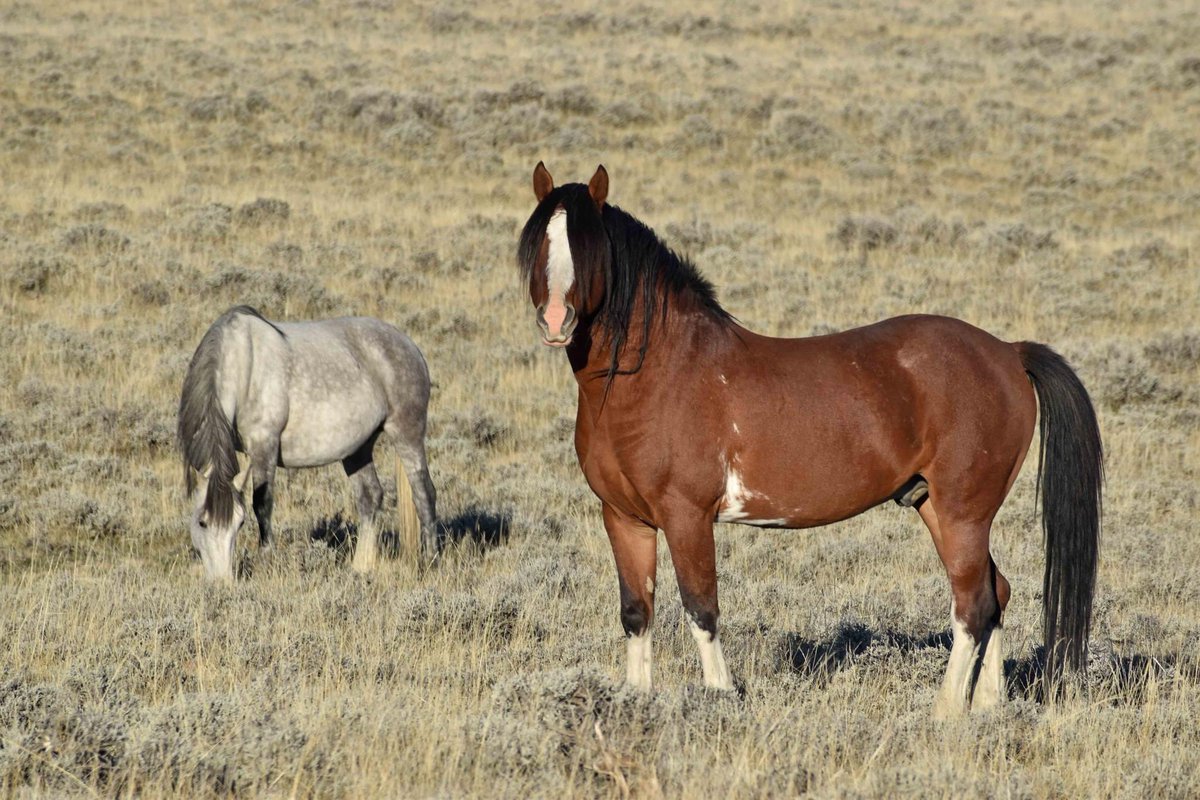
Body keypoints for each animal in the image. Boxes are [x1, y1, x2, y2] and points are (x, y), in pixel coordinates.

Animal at [175, 309, 439, 582]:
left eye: (240, 523)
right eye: (202, 522)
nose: (222, 583)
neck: (243, 365)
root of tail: (408, 345)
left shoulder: (264, 446)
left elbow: (262, 504)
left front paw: (266, 563)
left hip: (406, 434)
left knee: (424, 493)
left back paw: (430, 561)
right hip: (358, 448)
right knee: (370, 497)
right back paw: (360, 567)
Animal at [516, 160, 1099, 714]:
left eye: (590, 247)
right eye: (540, 242)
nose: (555, 320)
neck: (658, 373)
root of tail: (1008, 352)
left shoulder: (686, 517)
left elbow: (701, 609)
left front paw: (719, 699)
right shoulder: (624, 518)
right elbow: (637, 612)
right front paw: (635, 704)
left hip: (964, 512)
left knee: (973, 604)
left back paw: (946, 712)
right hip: (935, 505)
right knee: (994, 592)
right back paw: (989, 707)